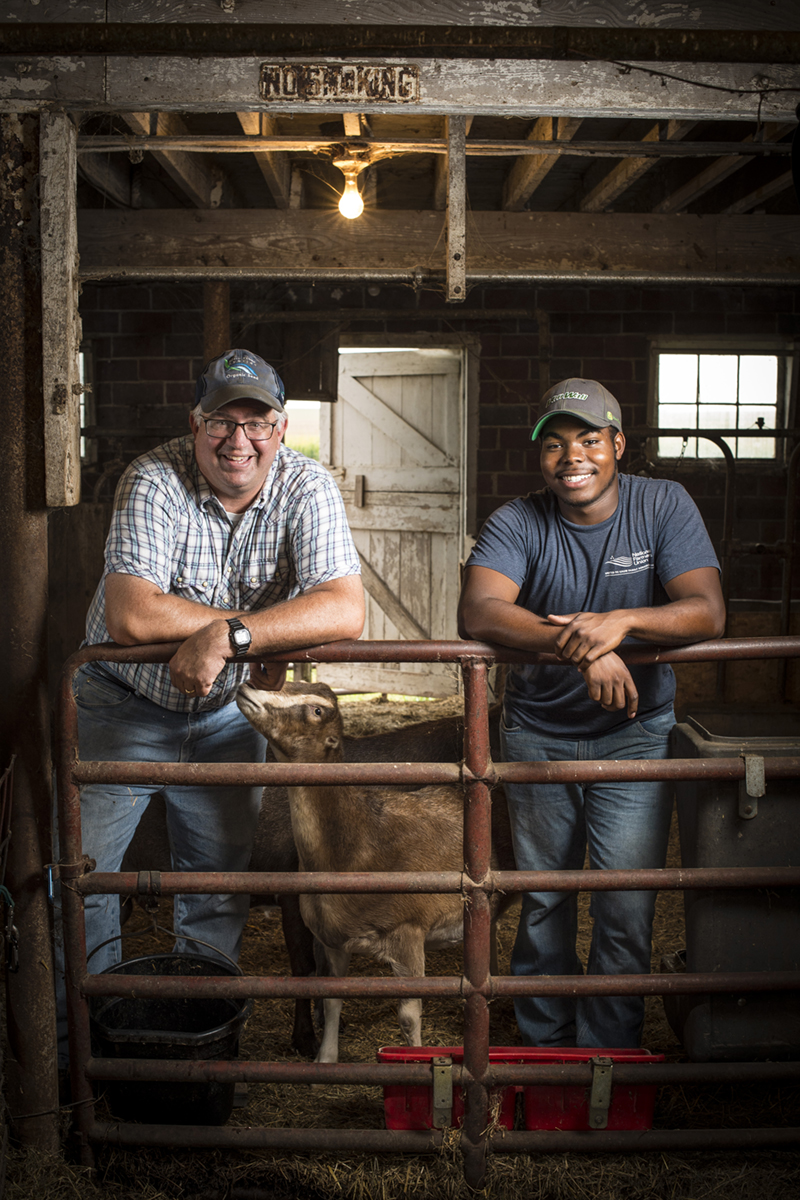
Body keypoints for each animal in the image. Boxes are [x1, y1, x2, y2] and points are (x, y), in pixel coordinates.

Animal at [235, 681, 515, 1065]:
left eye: (317, 710)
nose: (247, 686)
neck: (353, 848)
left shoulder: (409, 933)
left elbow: (409, 1016)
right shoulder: (333, 940)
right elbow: (332, 999)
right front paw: (325, 1059)